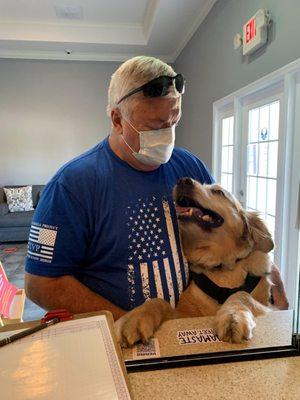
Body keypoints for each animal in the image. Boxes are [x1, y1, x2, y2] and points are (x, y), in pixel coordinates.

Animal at [115, 177, 274, 346]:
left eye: (218, 192)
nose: (183, 181)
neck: (222, 267)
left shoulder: (270, 308)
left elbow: (242, 294)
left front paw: (233, 316)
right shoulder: (182, 315)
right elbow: (159, 301)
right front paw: (134, 318)